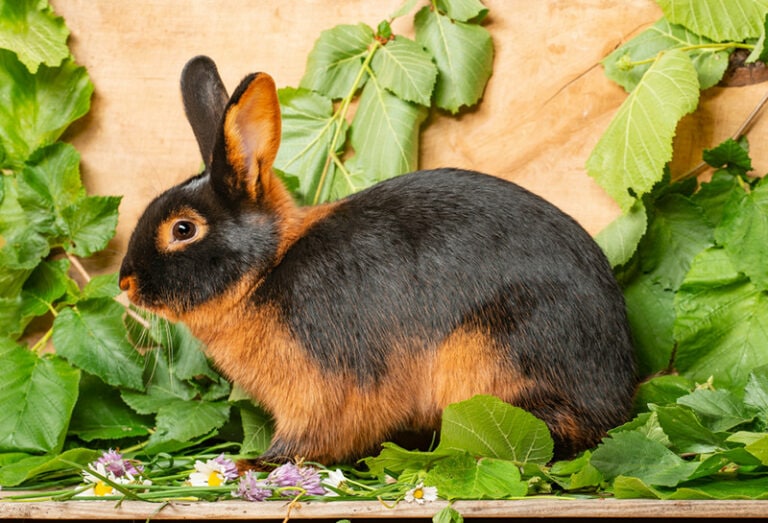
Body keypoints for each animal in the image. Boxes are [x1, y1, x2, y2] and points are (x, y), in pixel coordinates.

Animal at [119, 55, 637, 465]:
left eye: (183, 230)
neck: (265, 270)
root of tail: (617, 394)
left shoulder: (325, 387)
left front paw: (257, 464)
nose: (125, 283)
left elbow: (313, 435)